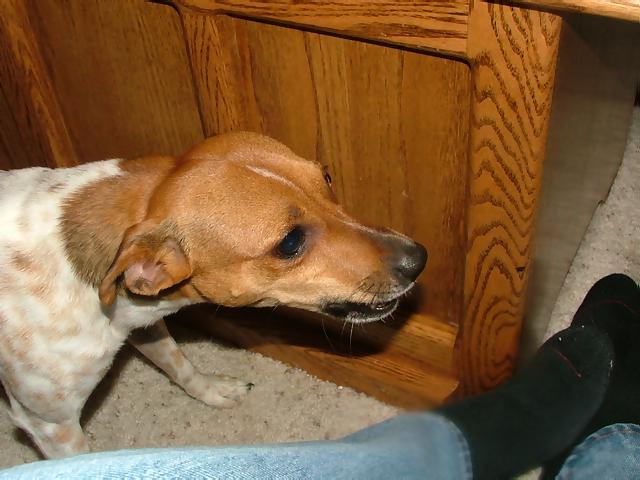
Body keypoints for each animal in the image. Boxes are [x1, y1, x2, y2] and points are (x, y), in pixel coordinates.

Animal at [0, 132, 426, 458]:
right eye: (290, 242)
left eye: (327, 177)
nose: (418, 259)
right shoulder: (52, 426)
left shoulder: (144, 322)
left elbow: (180, 364)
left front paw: (210, 390)